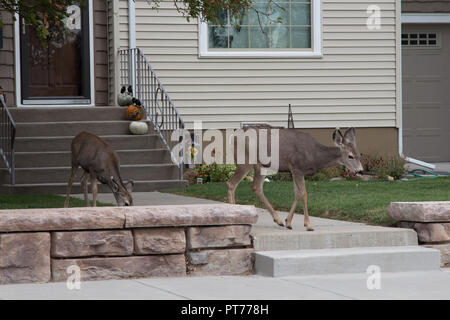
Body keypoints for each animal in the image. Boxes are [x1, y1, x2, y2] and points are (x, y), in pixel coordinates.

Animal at [227, 126, 364, 231]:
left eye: (359, 154)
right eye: (350, 156)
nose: (360, 170)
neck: (315, 156)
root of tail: (233, 136)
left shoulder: (293, 171)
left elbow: (297, 193)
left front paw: (288, 222)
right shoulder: (297, 167)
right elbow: (303, 193)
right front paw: (308, 225)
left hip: (260, 166)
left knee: (256, 187)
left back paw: (278, 220)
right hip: (245, 160)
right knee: (231, 183)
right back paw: (234, 217)